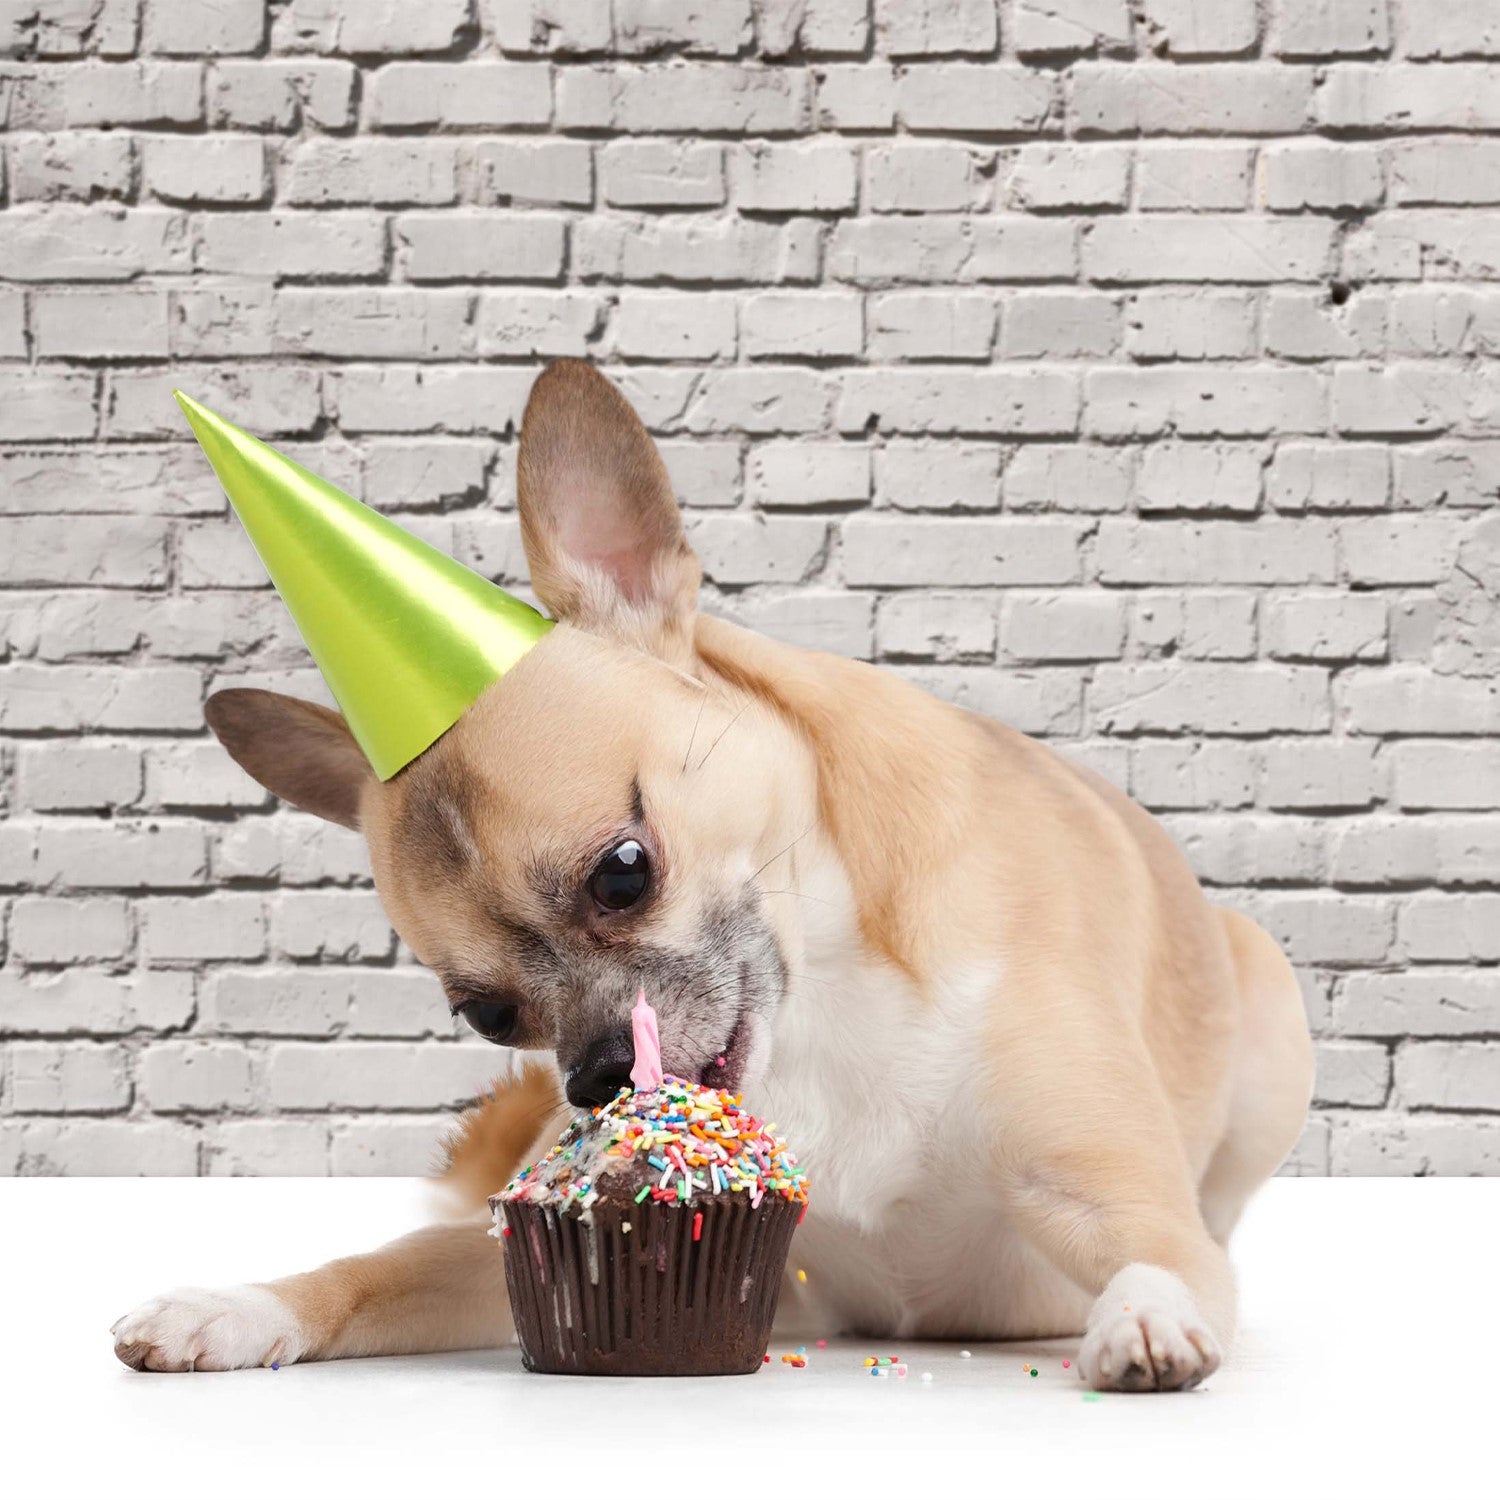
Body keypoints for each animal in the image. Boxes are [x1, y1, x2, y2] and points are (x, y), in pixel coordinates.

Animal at [111, 363, 1308, 1392]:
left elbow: (1167, 1259)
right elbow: (378, 1267)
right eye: (489, 1015)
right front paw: (233, 1307)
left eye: (623, 874)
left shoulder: (1118, 1204)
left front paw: (1148, 1319)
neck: (827, 1004)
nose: (596, 1075)